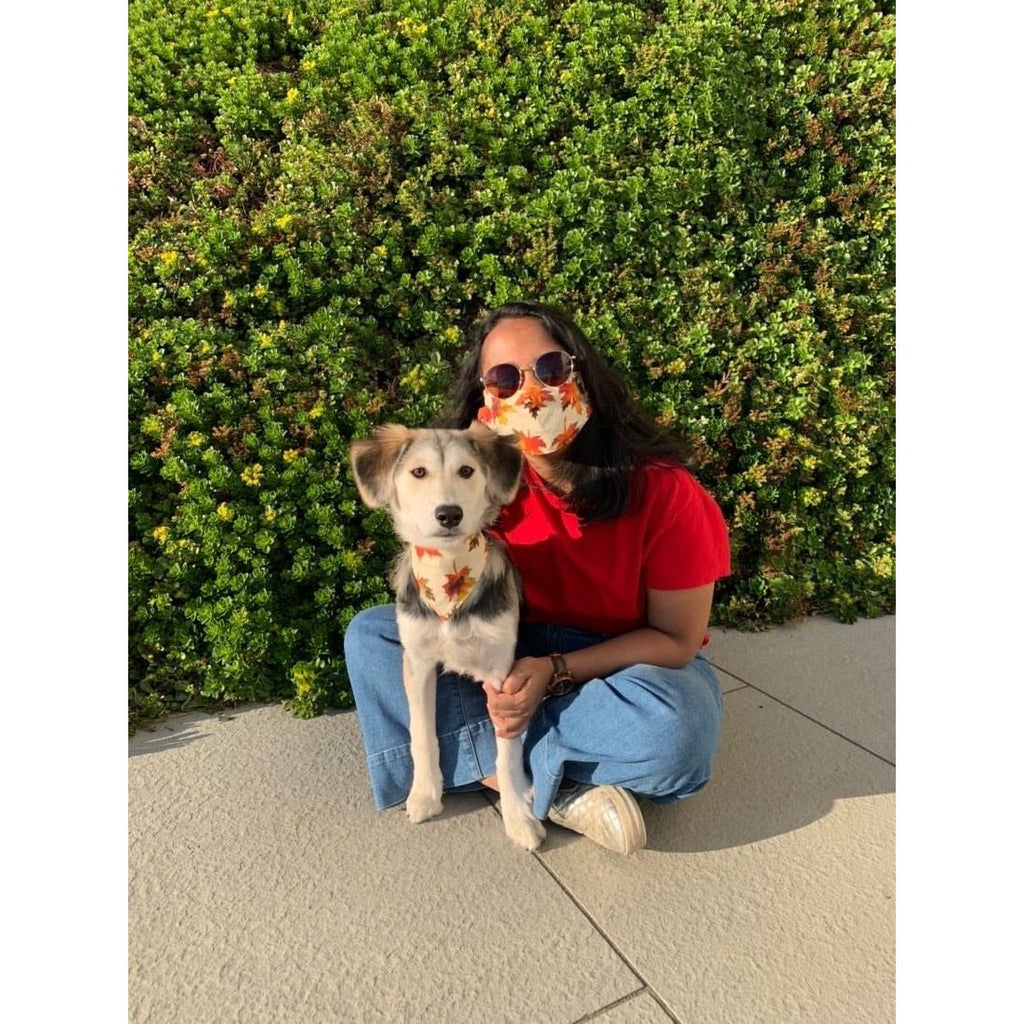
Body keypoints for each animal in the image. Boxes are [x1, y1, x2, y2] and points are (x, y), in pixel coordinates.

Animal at [350, 419, 548, 851]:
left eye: (466, 471)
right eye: (418, 472)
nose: (448, 514)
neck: (450, 576)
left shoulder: (501, 673)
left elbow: (507, 754)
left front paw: (518, 817)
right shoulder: (418, 660)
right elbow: (423, 734)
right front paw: (425, 794)